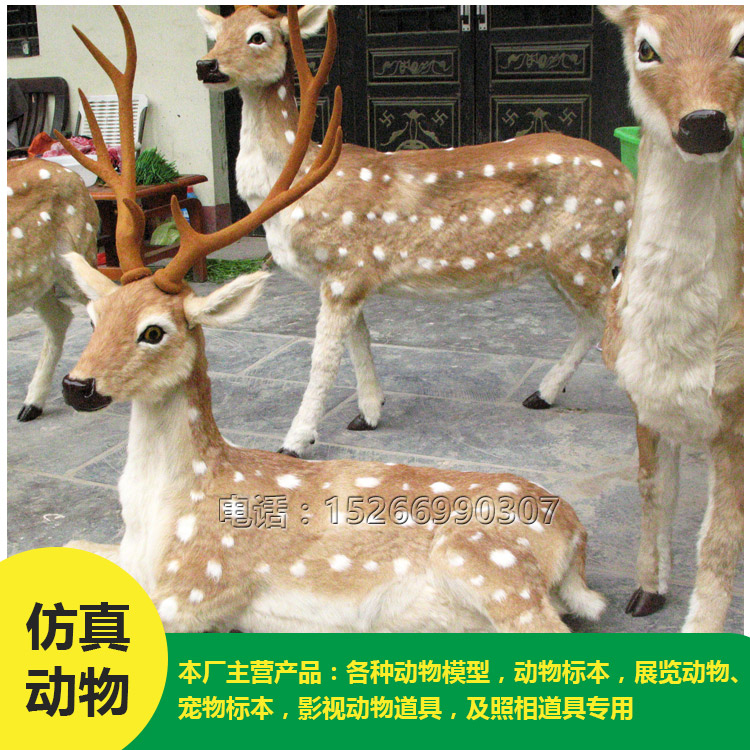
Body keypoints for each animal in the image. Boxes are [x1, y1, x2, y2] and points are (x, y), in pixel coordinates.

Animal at [195, 4, 637, 458]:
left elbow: (324, 358)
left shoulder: (343, 270)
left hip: (584, 249)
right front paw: (368, 414)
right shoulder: (352, 275)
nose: (205, 65)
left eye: (258, 36)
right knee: (592, 323)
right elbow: (360, 342)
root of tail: (629, 180)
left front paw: (295, 441)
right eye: (217, 32)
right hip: (564, 260)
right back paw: (542, 394)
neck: (298, 181)